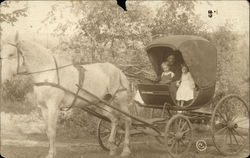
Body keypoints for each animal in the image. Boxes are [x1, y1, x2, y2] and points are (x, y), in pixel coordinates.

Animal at [1, 32, 133, 157]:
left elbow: (52, 130)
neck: (48, 73)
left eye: (11, 54)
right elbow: (48, 131)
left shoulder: (53, 107)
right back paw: (112, 147)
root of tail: (118, 70)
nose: (4, 81)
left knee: (127, 120)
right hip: (104, 103)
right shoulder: (43, 108)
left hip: (121, 100)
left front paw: (51, 154)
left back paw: (126, 150)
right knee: (114, 120)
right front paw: (52, 152)